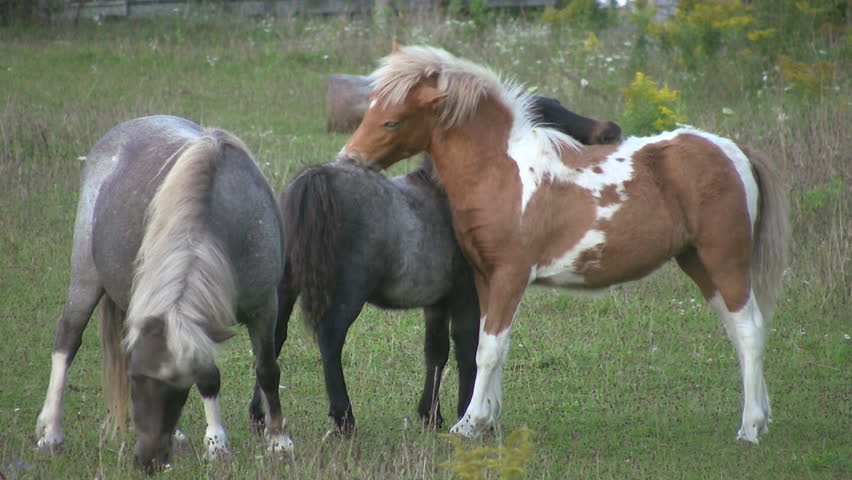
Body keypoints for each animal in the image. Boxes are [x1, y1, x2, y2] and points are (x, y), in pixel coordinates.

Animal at [34, 115, 293, 473]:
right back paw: (51, 434)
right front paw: (217, 444)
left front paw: (278, 440)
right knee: (67, 341)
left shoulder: (264, 307)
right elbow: (210, 378)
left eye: (177, 387)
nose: (148, 461)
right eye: (133, 380)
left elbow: (267, 369)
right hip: (85, 278)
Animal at [246, 99, 622, 436]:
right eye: (548, 119)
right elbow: (467, 348)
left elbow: (436, 351)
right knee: (329, 339)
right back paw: (344, 420)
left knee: (273, 338)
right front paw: (467, 417)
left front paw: (431, 416)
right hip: (347, 293)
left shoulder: (437, 301)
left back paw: (259, 417)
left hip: (283, 288)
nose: (611, 131)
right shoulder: (468, 295)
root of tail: (316, 178)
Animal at [338, 44, 790, 444]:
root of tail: (734, 151)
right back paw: (763, 418)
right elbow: (490, 345)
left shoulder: (511, 275)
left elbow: (489, 350)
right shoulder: (485, 277)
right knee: (738, 331)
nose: (349, 160)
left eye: (392, 121)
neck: (502, 172)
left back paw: (749, 429)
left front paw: (470, 423)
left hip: (724, 259)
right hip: (697, 262)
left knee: (750, 331)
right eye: (369, 111)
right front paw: (488, 421)